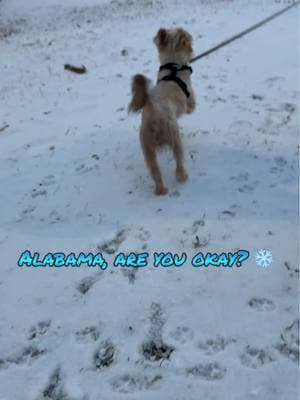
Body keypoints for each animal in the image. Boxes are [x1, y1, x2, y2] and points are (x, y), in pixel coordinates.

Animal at [127, 27, 196, 195]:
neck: (173, 67)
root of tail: (152, 108)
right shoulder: (190, 96)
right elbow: (192, 105)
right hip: (175, 139)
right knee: (179, 161)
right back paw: (182, 177)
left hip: (147, 149)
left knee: (155, 171)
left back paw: (160, 190)